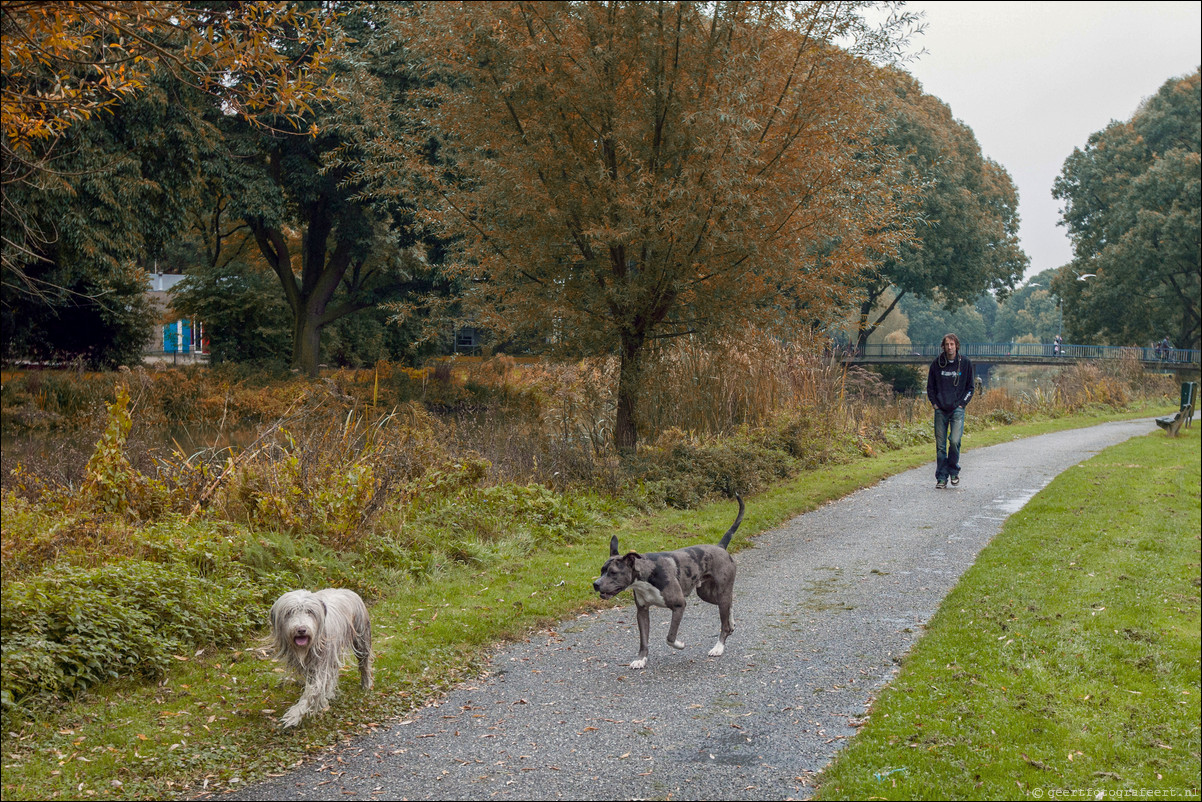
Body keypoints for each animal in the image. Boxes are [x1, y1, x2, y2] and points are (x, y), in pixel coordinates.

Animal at [270, 589, 372, 726]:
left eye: (310, 611)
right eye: (289, 612)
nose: (301, 629)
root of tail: (347, 590)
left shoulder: (321, 664)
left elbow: (312, 690)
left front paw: (294, 715)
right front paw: (320, 702)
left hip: (361, 639)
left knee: (364, 664)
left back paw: (366, 684)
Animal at [591, 495, 740, 673]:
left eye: (613, 572)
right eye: (601, 571)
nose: (595, 584)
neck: (646, 577)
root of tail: (720, 547)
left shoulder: (679, 605)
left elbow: (670, 637)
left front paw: (680, 644)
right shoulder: (642, 612)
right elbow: (643, 640)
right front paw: (640, 660)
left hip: (720, 592)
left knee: (724, 622)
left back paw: (718, 647)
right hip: (707, 594)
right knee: (730, 603)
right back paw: (731, 623)